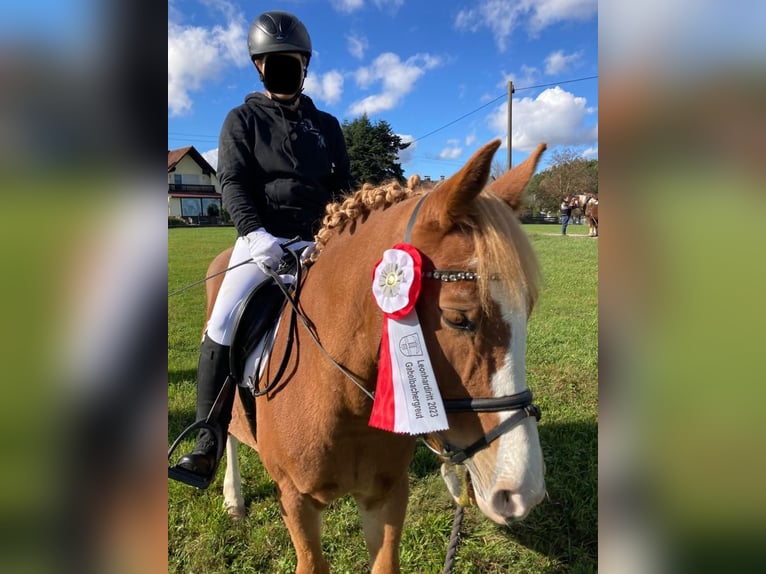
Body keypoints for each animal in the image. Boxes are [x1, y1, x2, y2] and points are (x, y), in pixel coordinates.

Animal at [207, 141, 548, 574]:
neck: (342, 399)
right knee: (232, 433)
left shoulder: (385, 495)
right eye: (458, 318)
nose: (522, 492)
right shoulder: (296, 502)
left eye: (529, 310)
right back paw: (232, 497)